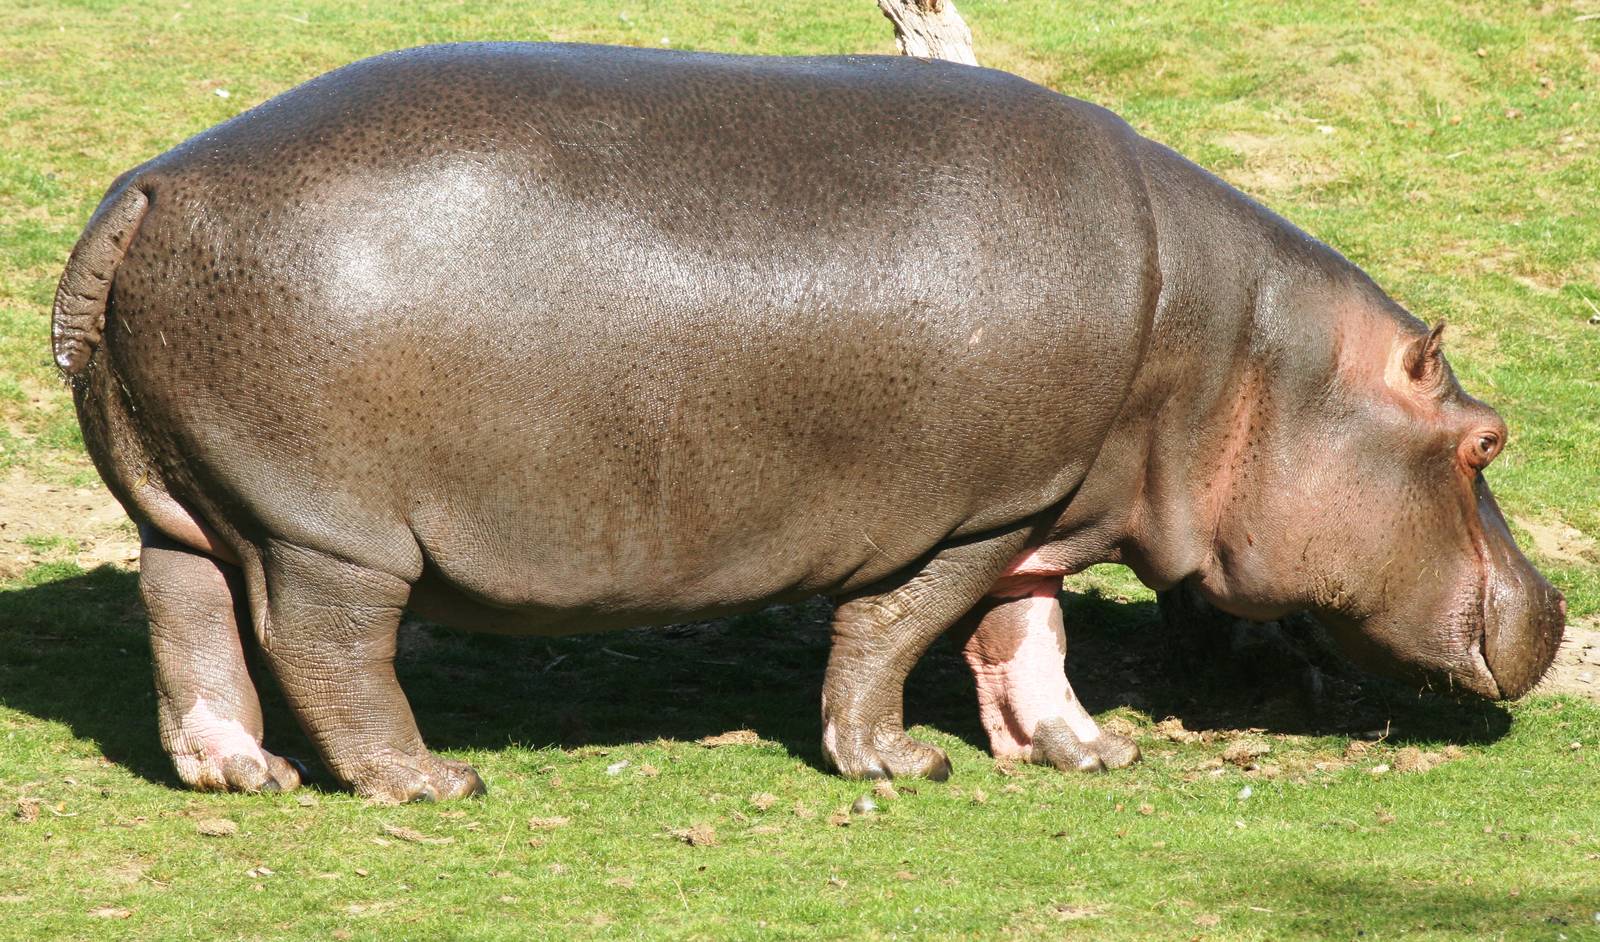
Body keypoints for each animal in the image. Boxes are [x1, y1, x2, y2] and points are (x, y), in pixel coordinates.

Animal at [53, 43, 1564, 802]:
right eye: (1484, 440)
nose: (1554, 607)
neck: (1235, 348)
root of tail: (155, 183)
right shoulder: (978, 508)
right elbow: (897, 632)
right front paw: (896, 760)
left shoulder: (1047, 499)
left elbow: (1028, 639)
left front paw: (1086, 753)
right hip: (331, 528)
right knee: (321, 643)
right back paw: (426, 782)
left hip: (192, 497)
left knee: (186, 613)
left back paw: (237, 772)